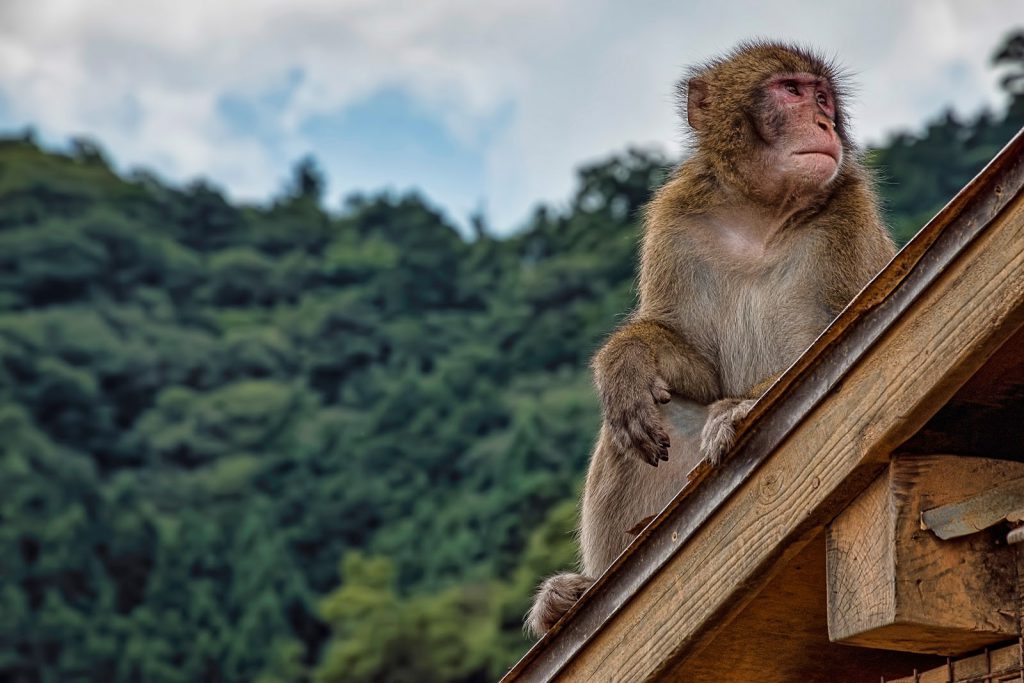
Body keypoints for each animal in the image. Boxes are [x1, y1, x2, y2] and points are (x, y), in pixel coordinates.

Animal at [528, 42, 897, 638]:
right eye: (791, 91)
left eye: (823, 97)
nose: (823, 122)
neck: (761, 216)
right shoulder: (677, 217)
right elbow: (693, 366)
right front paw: (628, 359)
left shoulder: (850, 217)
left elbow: (844, 337)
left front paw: (739, 409)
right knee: (644, 418)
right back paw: (571, 598)